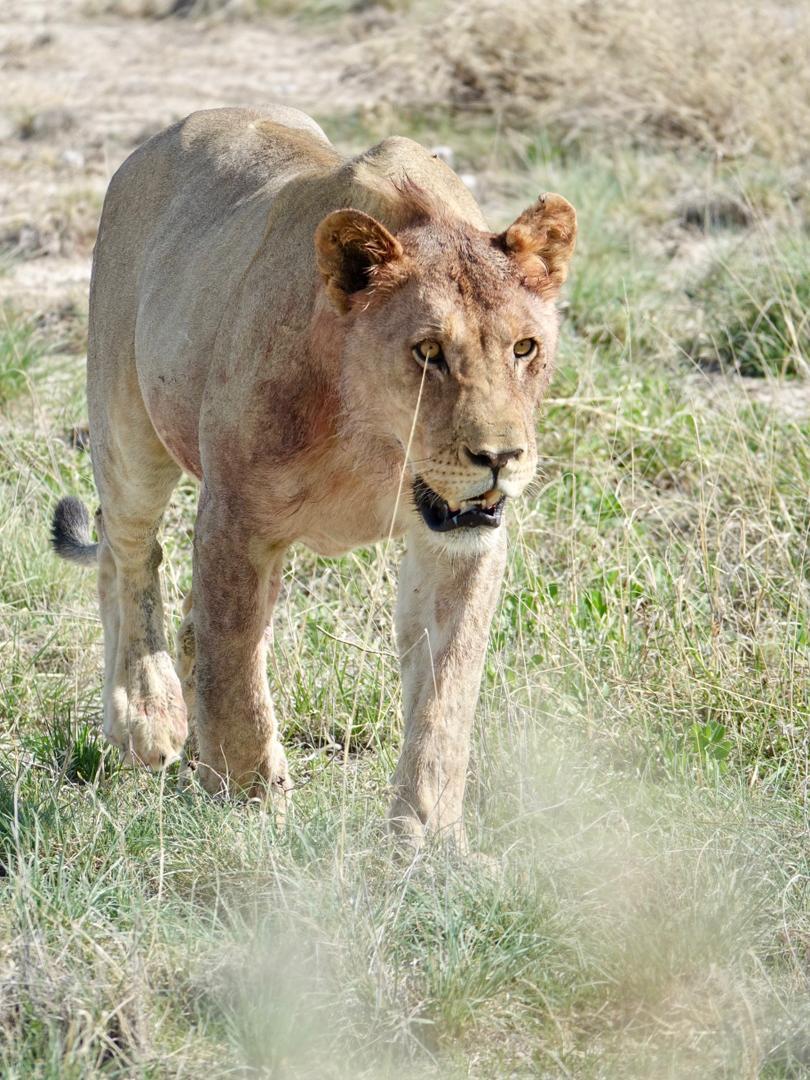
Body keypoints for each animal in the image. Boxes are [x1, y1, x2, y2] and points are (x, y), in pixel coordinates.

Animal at [50, 105, 576, 847]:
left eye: (524, 348)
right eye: (428, 352)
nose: (500, 457)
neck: (375, 446)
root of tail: (160, 138)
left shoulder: (458, 545)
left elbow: (445, 695)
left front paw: (426, 840)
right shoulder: (235, 520)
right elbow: (239, 676)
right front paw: (251, 811)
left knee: (184, 617)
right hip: (127, 430)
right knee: (128, 552)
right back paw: (146, 718)